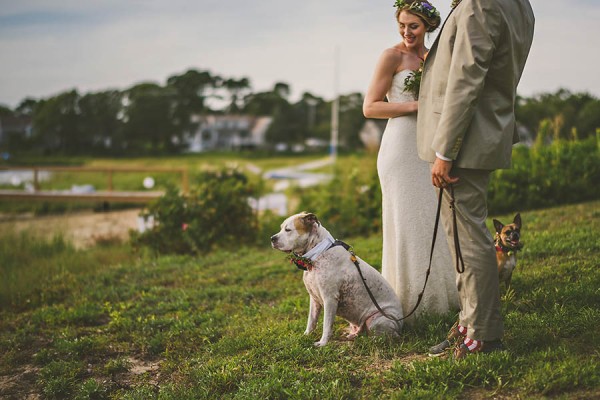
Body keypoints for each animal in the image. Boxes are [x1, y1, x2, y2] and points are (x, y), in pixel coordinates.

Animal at [270, 212, 404, 346]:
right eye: (281, 228)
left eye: (288, 230)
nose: (272, 238)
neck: (317, 254)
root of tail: (400, 324)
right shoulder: (314, 299)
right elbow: (311, 321)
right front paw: (306, 335)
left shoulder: (329, 299)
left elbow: (326, 324)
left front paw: (322, 343)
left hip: (377, 320)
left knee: (390, 336)